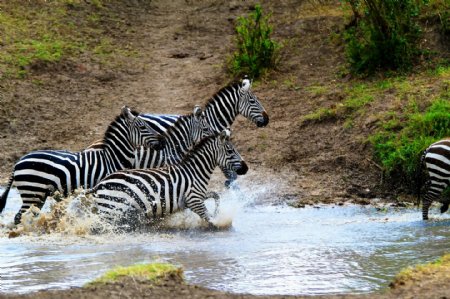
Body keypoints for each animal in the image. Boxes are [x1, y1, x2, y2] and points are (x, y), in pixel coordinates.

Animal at [0, 106, 164, 225]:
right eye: (143, 127)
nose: (162, 141)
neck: (112, 158)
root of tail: (17, 163)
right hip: (32, 192)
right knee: (19, 217)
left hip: (38, 195)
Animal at [89, 130, 248, 231]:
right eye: (230, 151)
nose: (246, 168)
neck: (195, 172)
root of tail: (100, 184)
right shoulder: (194, 200)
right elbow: (210, 218)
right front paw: (219, 224)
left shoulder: (197, 196)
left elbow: (216, 196)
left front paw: (217, 213)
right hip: (111, 211)